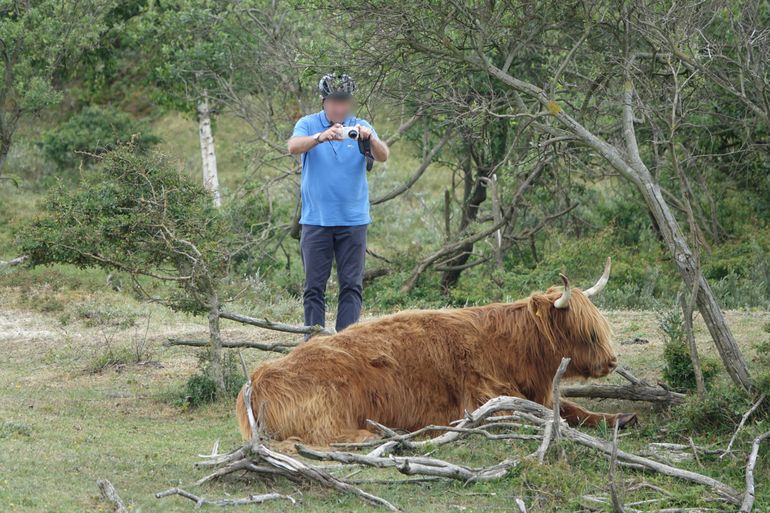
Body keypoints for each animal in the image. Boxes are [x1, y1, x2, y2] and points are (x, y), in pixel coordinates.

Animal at [237, 258, 632, 442]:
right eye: (586, 333)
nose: (612, 361)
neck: (508, 348)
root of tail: (256, 381)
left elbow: (571, 408)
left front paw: (620, 418)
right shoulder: (485, 398)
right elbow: (545, 413)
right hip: (332, 410)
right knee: (328, 438)